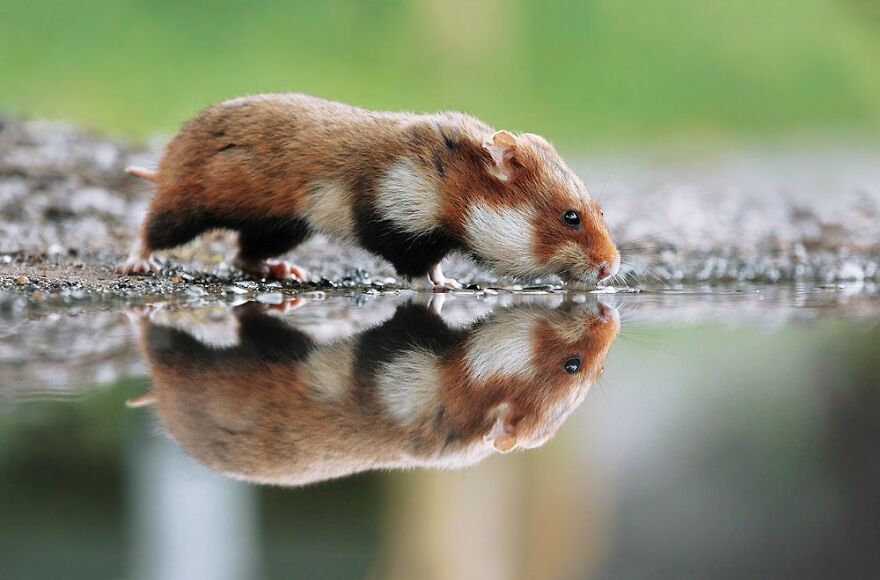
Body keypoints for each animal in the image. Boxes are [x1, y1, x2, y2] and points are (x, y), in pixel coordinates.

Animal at [119, 93, 620, 290]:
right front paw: (434, 288)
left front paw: (449, 281)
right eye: (571, 217)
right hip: (189, 204)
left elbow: (436, 263)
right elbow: (413, 266)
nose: (611, 268)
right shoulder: (396, 217)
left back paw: (287, 271)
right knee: (151, 227)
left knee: (243, 254)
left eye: (599, 209)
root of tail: (166, 163)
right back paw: (138, 263)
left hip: (284, 226)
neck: (453, 185)